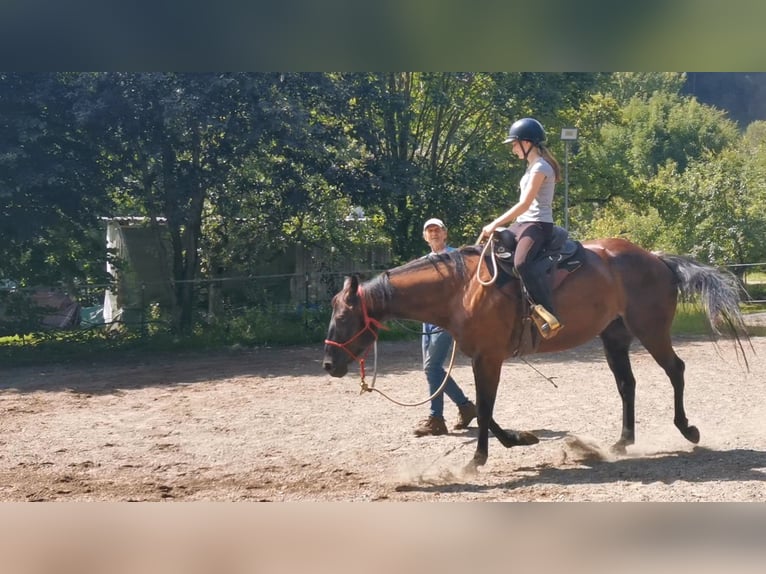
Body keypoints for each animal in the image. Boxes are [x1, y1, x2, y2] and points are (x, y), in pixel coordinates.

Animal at [320, 236, 748, 474]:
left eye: (342, 317)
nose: (328, 364)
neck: (462, 289)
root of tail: (657, 259)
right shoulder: (480, 357)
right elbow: (486, 410)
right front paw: (518, 440)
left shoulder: (489, 358)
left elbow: (486, 409)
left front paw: (478, 460)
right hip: (615, 337)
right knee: (628, 384)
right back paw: (622, 442)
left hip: (651, 331)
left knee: (676, 370)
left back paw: (687, 429)